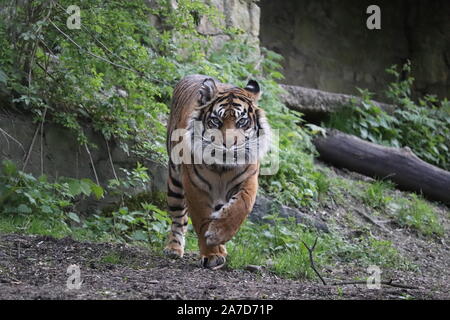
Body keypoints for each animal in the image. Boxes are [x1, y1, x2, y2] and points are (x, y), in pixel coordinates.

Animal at [164, 74, 270, 270]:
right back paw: (173, 249)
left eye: (242, 122)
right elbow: (203, 220)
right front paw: (212, 253)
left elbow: (241, 206)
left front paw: (218, 235)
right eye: (216, 121)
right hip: (174, 183)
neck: (223, 167)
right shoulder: (195, 186)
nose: (228, 145)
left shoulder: (249, 180)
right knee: (178, 218)